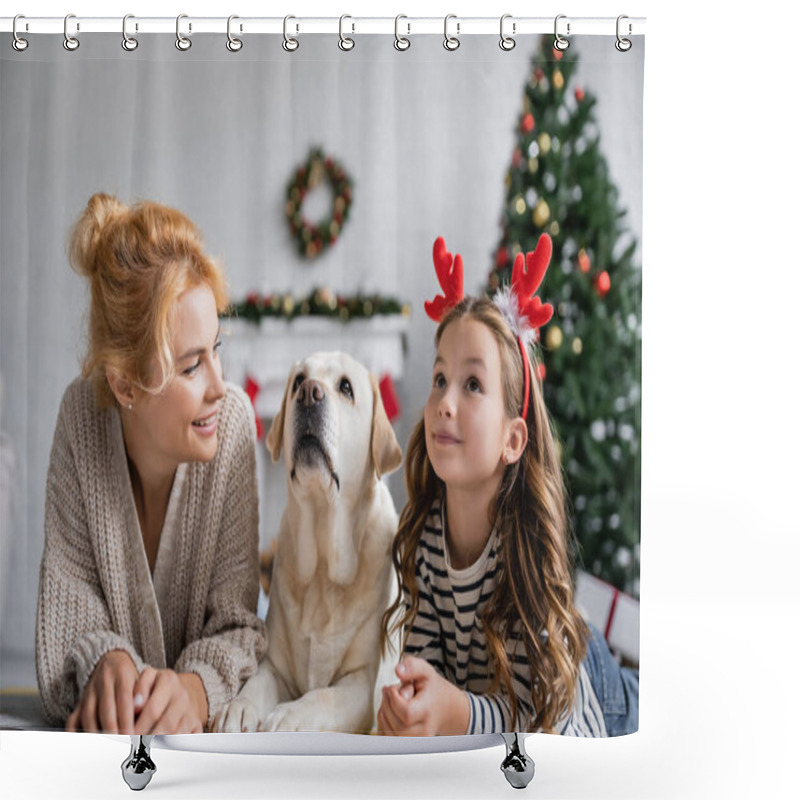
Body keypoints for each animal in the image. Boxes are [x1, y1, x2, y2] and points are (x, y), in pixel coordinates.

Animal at [212, 350, 404, 732]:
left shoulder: (361, 686)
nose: (309, 394)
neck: (323, 571)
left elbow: (321, 697)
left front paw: (287, 716)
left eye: (346, 387)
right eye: (298, 381)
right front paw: (238, 708)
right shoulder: (274, 666)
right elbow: (255, 684)